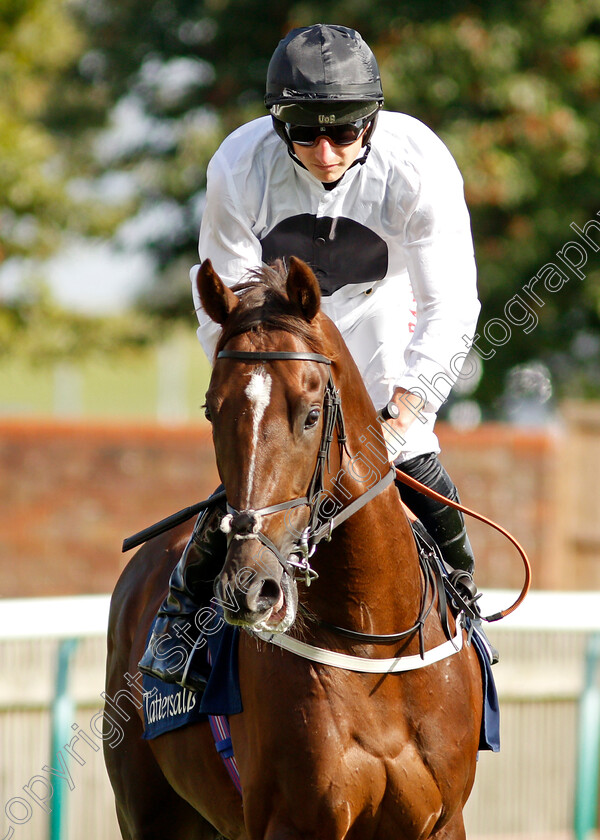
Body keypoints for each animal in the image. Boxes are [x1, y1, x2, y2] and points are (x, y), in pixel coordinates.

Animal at [104, 258, 482, 840]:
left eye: (310, 414)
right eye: (212, 411)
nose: (250, 588)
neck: (370, 640)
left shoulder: (442, 821)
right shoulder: (293, 820)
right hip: (148, 813)